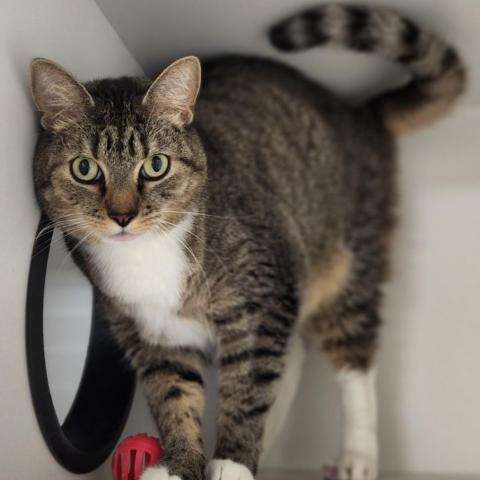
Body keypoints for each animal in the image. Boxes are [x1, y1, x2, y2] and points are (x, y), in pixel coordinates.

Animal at [30, 4, 465, 480]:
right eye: (85, 169)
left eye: (156, 165)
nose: (123, 216)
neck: (147, 256)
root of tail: (355, 113)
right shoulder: (152, 335)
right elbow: (173, 396)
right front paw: (178, 463)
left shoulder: (261, 294)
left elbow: (250, 383)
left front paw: (233, 461)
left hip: (350, 258)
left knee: (354, 356)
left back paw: (357, 455)